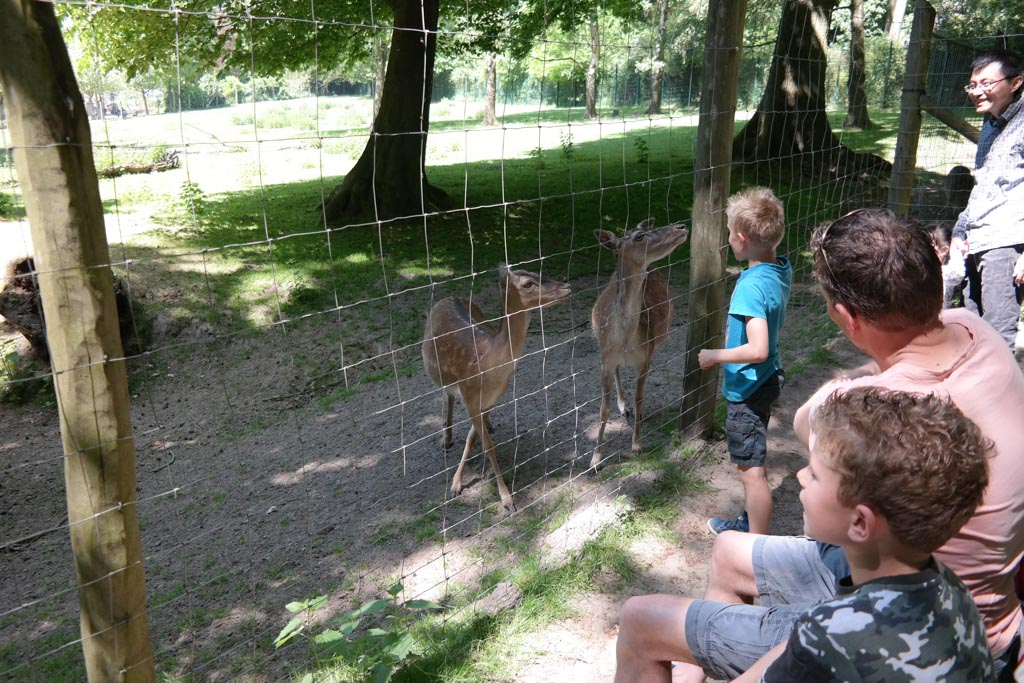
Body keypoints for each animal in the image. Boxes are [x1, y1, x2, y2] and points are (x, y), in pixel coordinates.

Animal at [419, 264, 573, 509]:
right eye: (527, 284)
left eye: (535, 271)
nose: (567, 286)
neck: (490, 366)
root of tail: (449, 296)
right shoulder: (470, 396)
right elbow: (488, 445)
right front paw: (506, 499)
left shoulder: (492, 399)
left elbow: (474, 439)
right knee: (447, 394)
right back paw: (446, 439)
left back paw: (483, 426)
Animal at [593, 219, 688, 471]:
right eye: (639, 236)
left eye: (643, 230)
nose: (681, 226)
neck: (626, 338)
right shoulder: (604, 359)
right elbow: (603, 409)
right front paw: (595, 460)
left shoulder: (645, 357)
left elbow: (640, 397)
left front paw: (636, 446)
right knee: (618, 371)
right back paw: (622, 406)